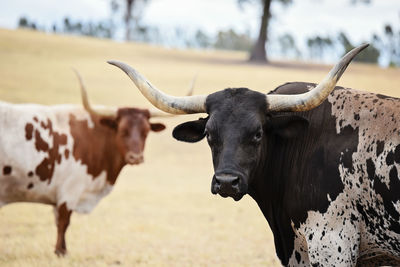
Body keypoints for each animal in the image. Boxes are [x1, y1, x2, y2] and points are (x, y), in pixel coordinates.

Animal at [0, 72, 167, 256]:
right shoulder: (69, 191)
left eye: (146, 132)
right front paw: (60, 251)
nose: (136, 157)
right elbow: (63, 222)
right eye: (123, 131)